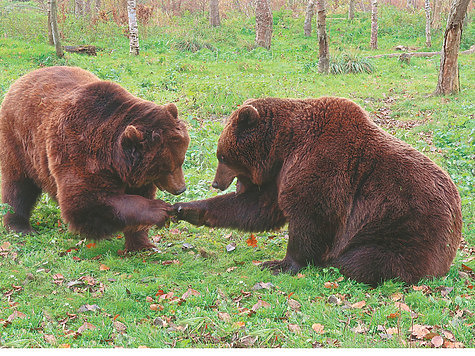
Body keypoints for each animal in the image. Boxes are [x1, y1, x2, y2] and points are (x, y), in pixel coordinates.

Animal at [0, 66, 190, 250]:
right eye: (167, 168)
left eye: (180, 161)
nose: (181, 188)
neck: (114, 159)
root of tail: (22, 79)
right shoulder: (80, 151)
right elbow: (86, 202)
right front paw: (160, 210)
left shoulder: (134, 174)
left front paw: (142, 244)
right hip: (19, 143)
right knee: (19, 186)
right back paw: (19, 226)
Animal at [175, 96, 462, 286]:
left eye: (222, 156)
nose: (216, 183)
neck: (284, 146)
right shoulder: (281, 175)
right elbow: (259, 207)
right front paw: (186, 209)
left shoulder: (322, 164)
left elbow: (312, 216)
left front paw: (280, 264)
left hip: (404, 228)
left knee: (365, 261)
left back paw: (336, 262)